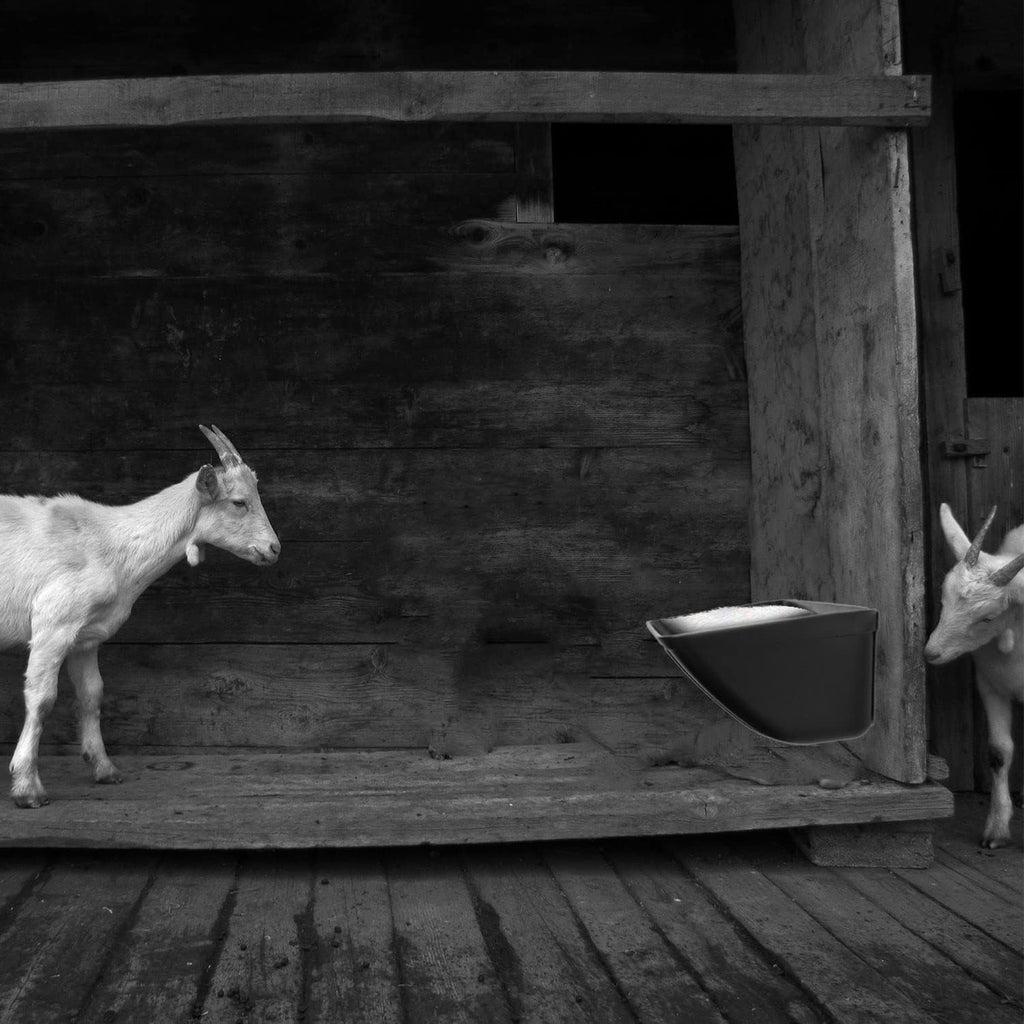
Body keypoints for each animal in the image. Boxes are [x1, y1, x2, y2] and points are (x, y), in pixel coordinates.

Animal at [2, 426, 280, 808]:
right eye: (239, 502)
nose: (274, 548)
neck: (110, 544)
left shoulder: (86, 637)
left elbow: (92, 694)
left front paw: (105, 769)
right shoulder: (53, 623)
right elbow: (42, 699)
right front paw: (28, 787)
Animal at [924, 504, 1024, 848]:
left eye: (988, 618)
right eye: (943, 598)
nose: (931, 652)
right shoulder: (990, 684)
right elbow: (999, 751)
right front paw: (996, 830)